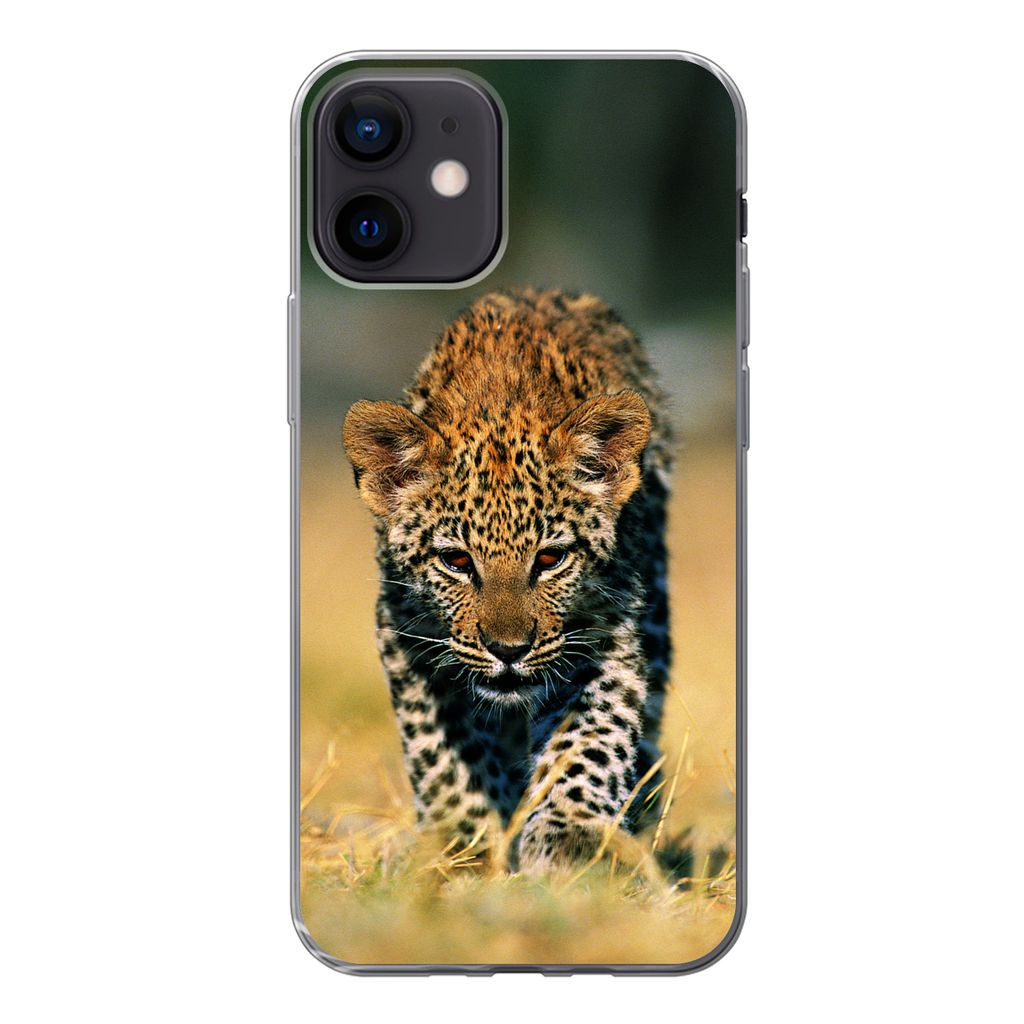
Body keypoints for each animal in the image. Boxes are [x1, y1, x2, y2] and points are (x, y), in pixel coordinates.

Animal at [342, 288, 673, 873]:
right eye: (456, 562)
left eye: (550, 559)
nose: (508, 650)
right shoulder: (406, 635)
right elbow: (443, 753)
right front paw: (466, 843)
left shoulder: (607, 634)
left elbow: (588, 741)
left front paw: (570, 840)